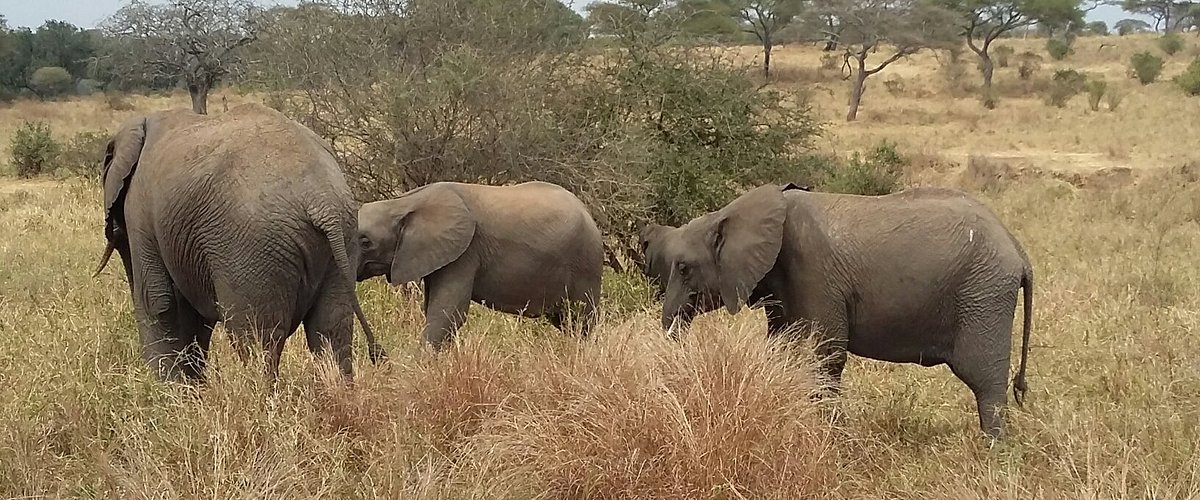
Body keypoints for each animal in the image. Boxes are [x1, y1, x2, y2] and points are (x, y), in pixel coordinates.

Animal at [93, 102, 384, 381]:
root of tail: (321, 199)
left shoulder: (139, 214)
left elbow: (158, 301)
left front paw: (168, 393)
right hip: (341, 240)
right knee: (330, 331)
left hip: (252, 251)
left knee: (257, 339)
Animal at [352, 179, 600, 350]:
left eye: (365, 242)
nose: (379, 355)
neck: (403, 202)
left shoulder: (466, 252)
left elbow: (448, 312)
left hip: (585, 264)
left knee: (581, 321)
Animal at [652, 183, 1036, 436]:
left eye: (683, 268)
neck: (734, 212)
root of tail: (1018, 250)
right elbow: (781, 348)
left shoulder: (814, 273)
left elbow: (827, 354)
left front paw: (831, 437)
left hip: (983, 294)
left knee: (984, 381)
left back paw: (992, 450)